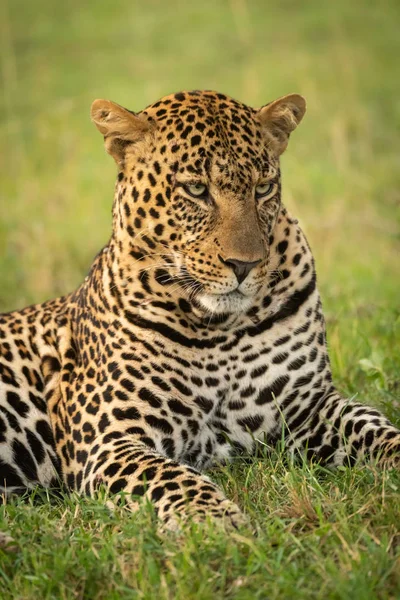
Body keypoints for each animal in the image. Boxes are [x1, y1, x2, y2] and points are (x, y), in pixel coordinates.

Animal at [0, 89, 400, 528]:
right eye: (195, 189)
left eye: (263, 188)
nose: (245, 264)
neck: (216, 328)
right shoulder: (109, 439)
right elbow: (169, 477)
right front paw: (220, 522)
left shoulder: (308, 407)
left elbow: (374, 426)